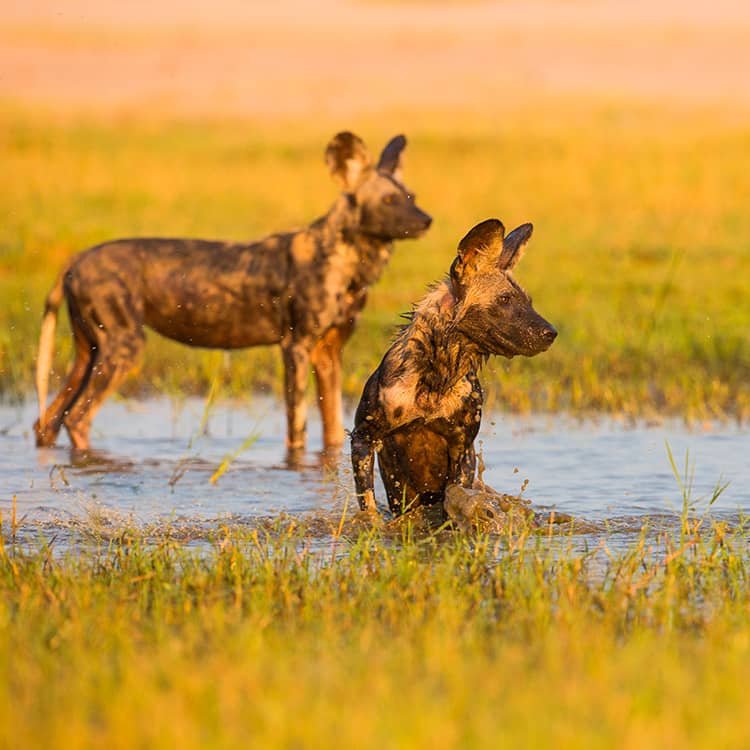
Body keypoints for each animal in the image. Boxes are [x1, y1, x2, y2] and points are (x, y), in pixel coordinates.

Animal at [35, 131, 432, 452]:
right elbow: (297, 431)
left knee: (48, 421)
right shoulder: (296, 348)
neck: (346, 262)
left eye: (411, 196)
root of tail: (76, 259)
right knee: (77, 418)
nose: (426, 219)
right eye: (388, 201)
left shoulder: (328, 354)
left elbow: (333, 432)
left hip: (88, 354)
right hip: (123, 348)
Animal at [352, 217, 560, 516]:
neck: (436, 377)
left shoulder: (462, 450)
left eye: (528, 301)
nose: (551, 333)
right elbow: (368, 506)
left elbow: (455, 500)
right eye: (504, 300)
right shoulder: (363, 438)